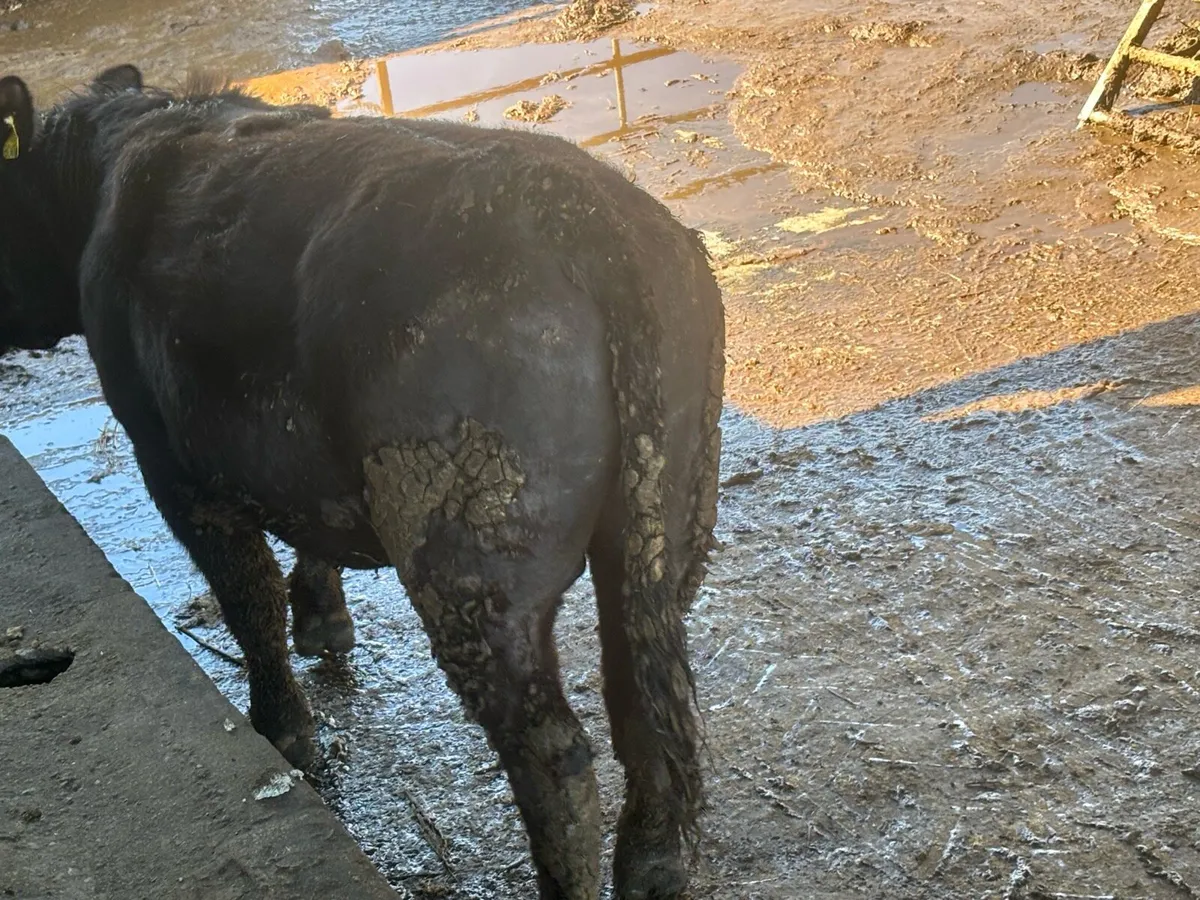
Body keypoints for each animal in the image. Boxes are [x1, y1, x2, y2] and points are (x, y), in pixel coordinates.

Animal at [0, 65, 725, 900]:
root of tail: (582, 215)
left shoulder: (177, 470)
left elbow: (248, 602)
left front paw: (282, 729)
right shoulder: (287, 451)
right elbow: (304, 534)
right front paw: (324, 618)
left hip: (466, 563)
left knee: (554, 754)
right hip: (664, 524)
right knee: (642, 693)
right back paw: (655, 862)